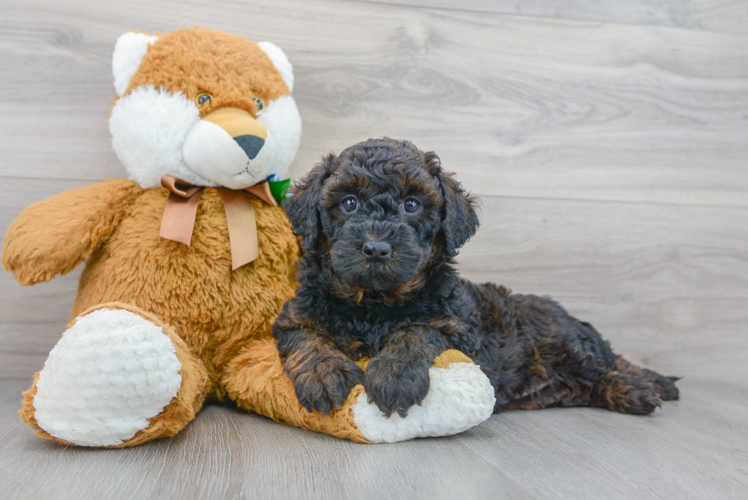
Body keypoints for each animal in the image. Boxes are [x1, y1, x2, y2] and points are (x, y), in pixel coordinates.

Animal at [274, 137, 676, 418]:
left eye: (411, 204)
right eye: (349, 203)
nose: (375, 248)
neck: (374, 303)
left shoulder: (457, 328)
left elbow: (415, 331)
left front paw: (394, 376)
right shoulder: (293, 318)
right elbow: (309, 339)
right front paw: (324, 375)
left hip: (561, 339)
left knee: (605, 365)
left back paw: (640, 388)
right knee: (590, 382)